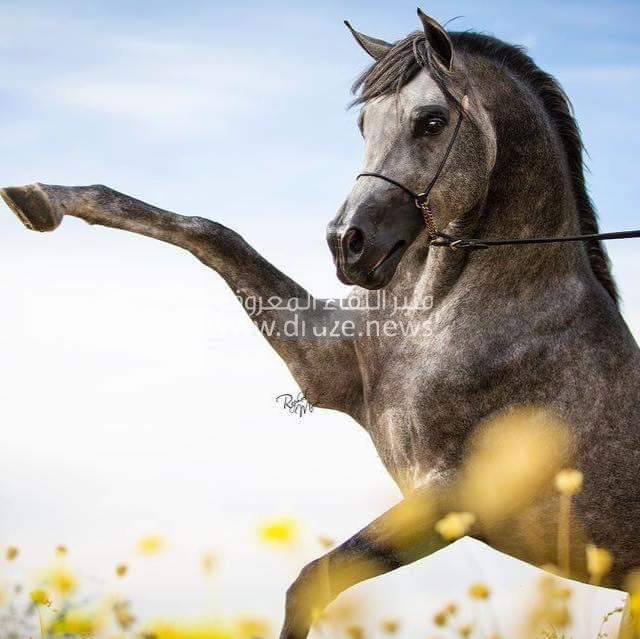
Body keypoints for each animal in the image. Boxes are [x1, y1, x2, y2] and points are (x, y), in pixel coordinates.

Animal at [5, 10, 640, 639]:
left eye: (431, 122)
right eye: (363, 124)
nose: (347, 245)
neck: (442, 309)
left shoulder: (451, 497)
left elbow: (313, 582)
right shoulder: (329, 369)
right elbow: (210, 233)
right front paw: (41, 199)